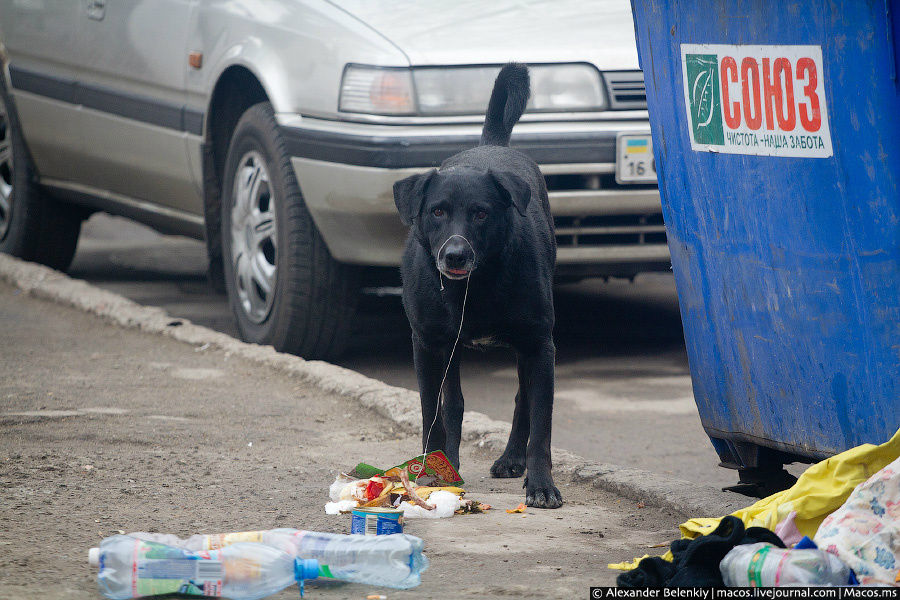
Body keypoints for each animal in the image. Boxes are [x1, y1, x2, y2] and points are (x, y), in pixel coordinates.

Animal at [394, 64, 564, 506]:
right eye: (437, 212)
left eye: (482, 213)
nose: (454, 255)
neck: (474, 286)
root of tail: (492, 143)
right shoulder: (427, 344)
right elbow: (434, 414)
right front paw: (433, 470)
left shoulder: (539, 345)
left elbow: (542, 424)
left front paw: (541, 485)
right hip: (450, 350)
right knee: (452, 403)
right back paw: (450, 462)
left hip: (528, 347)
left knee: (523, 400)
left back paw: (511, 459)